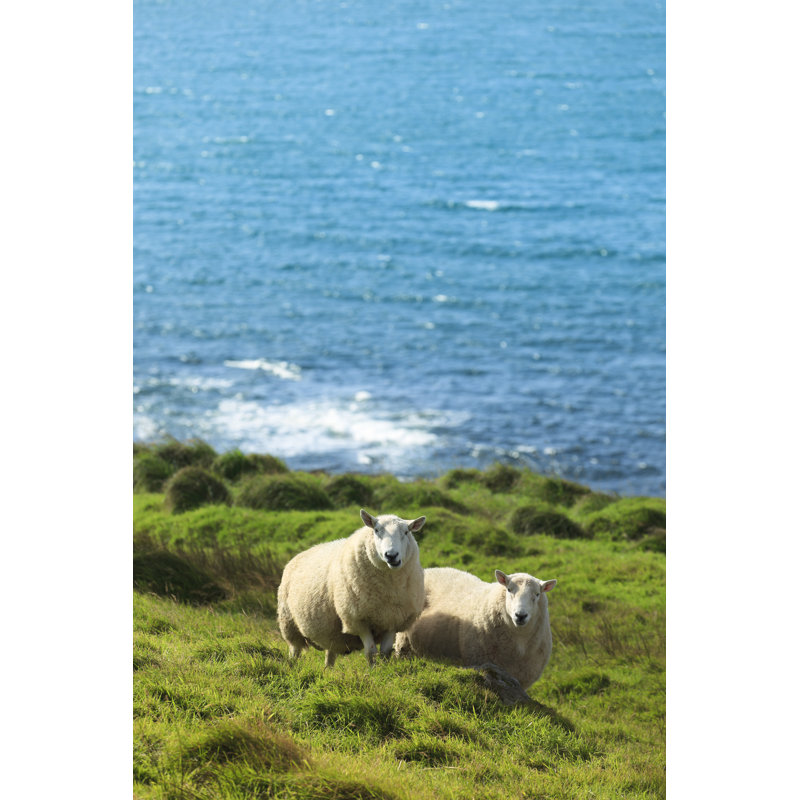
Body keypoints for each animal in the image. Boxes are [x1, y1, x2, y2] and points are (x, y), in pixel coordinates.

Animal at [277, 509, 426, 667]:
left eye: (406, 532)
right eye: (376, 530)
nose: (391, 555)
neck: (387, 588)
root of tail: (299, 554)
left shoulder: (394, 619)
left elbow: (385, 653)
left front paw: (384, 669)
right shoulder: (358, 619)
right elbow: (371, 652)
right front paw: (373, 670)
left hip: (331, 634)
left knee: (330, 653)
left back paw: (328, 670)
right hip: (289, 622)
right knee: (294, 649)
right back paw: (292, 666)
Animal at [394, 567, 557, 690]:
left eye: (537, 594)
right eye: (509, 589)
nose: (520, 615)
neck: (519, 642)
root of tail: (428, 570)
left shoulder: (520, 680)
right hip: (404, 641)